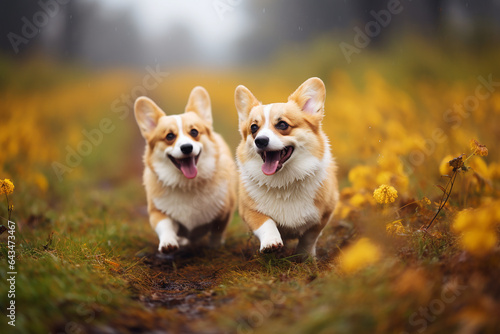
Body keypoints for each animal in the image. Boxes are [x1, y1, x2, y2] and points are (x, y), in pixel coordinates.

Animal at [135, 86, 236, 253]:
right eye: (169, 136)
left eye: (194, 132)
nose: (187, 147)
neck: (186, 183)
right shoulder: (157, 212)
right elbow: (165, 225)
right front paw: (168, 243)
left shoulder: (225, 211)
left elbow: (217, 230)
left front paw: (215, 246)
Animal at [235, 77, 340, 258]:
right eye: (254, 128)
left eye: (282, 125)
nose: (260, 141)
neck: (284, 181)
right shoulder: (248, 210)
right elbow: (265, 222)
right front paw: (271, 243)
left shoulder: (324, 214)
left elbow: (309, 237)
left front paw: (305, 256)